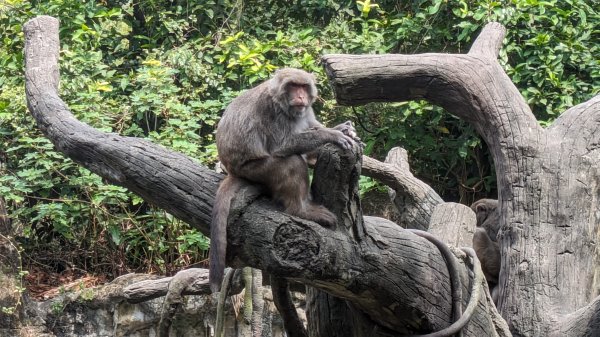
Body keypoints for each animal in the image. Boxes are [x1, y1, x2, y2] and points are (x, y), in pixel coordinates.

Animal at [210, 67, 356, 292]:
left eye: (303, 86)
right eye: (293, 86)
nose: (300, 96)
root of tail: (232, 170)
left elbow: (311, 125)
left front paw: (342, 128)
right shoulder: (272, 112)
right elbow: (283, 145)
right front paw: (332, 135)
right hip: (254, 169)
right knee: (291, 161)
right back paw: (300, 210)